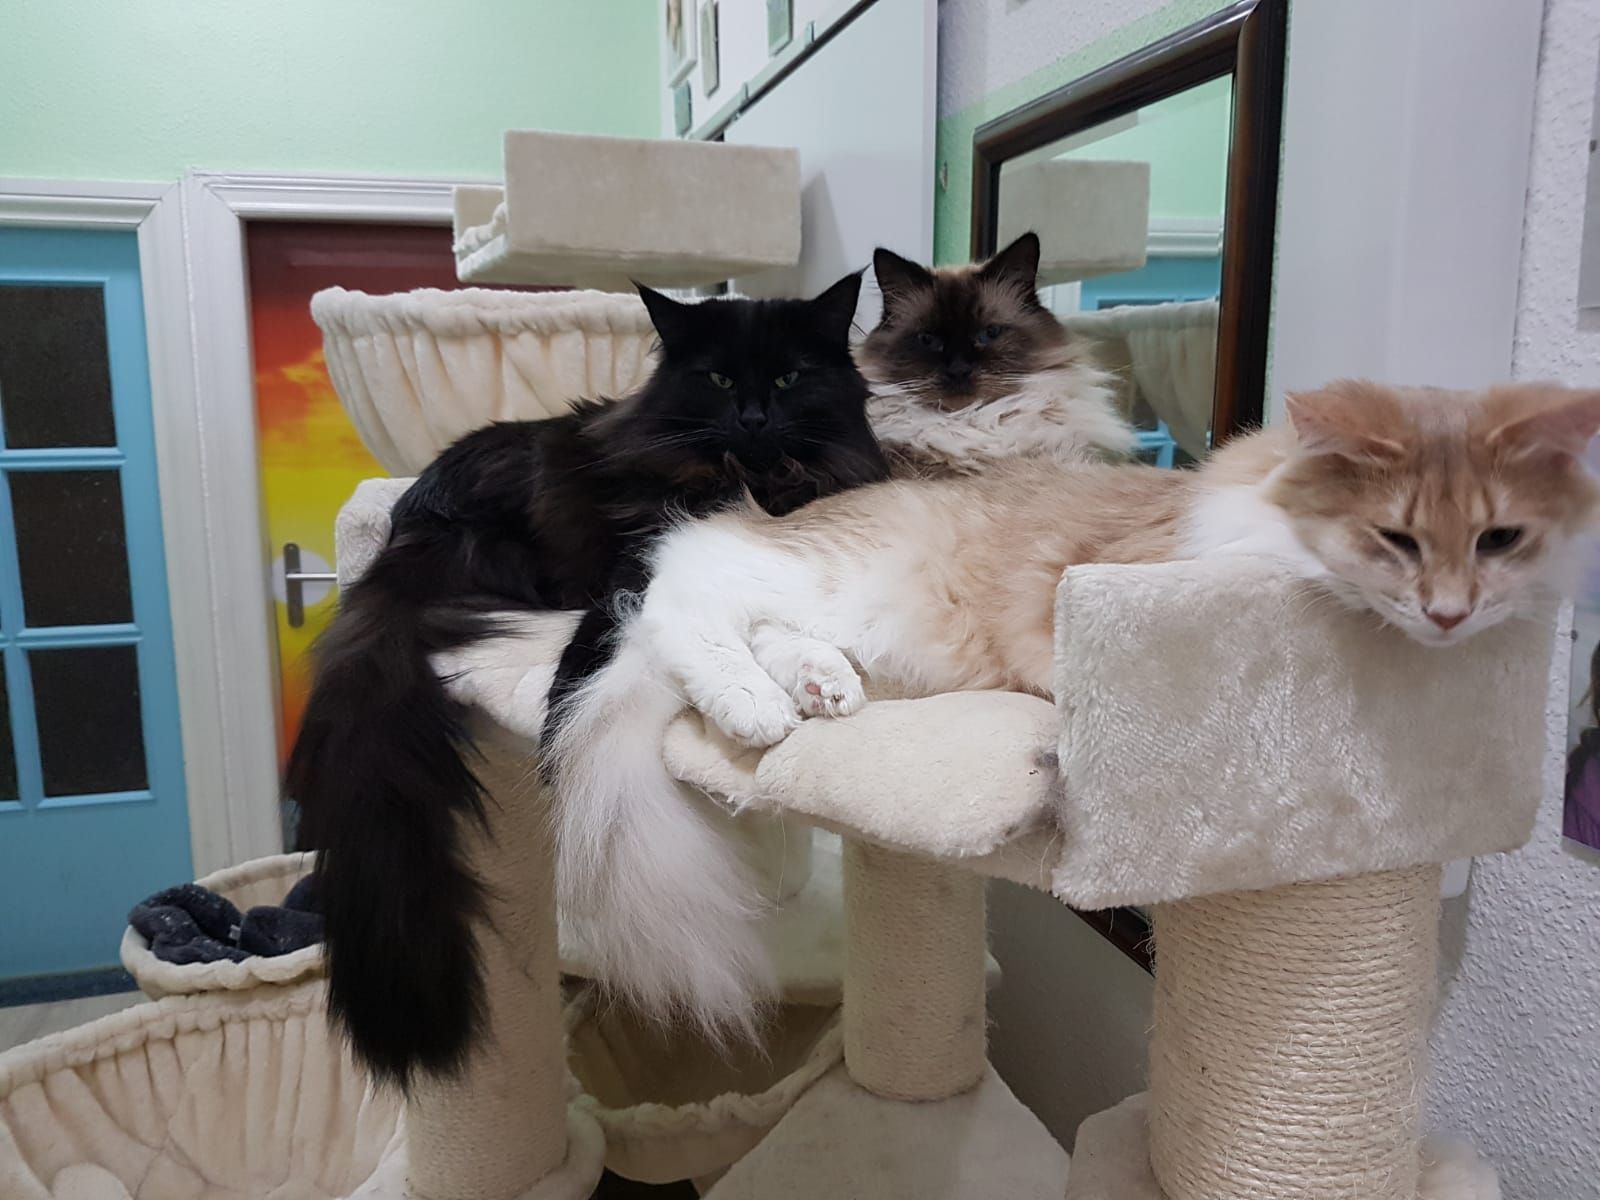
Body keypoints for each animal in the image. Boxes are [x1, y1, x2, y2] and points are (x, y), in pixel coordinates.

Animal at [289, 273, 888, 1088]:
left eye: (791, 377)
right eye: (719, 380)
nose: (754, 417)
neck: (751, 480)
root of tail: (407, 525)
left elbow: (780, 630)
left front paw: (824, 683)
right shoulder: (649, 570)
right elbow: (708, 642)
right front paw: (754, 705)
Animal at [546, 379, 1600, 1031]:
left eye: (1500, 539)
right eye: (1397, 537)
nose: (1450, 612)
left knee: (757, 627)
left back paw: (818, 689)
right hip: (806, 576)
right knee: (683, 599)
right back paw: (757, 707)